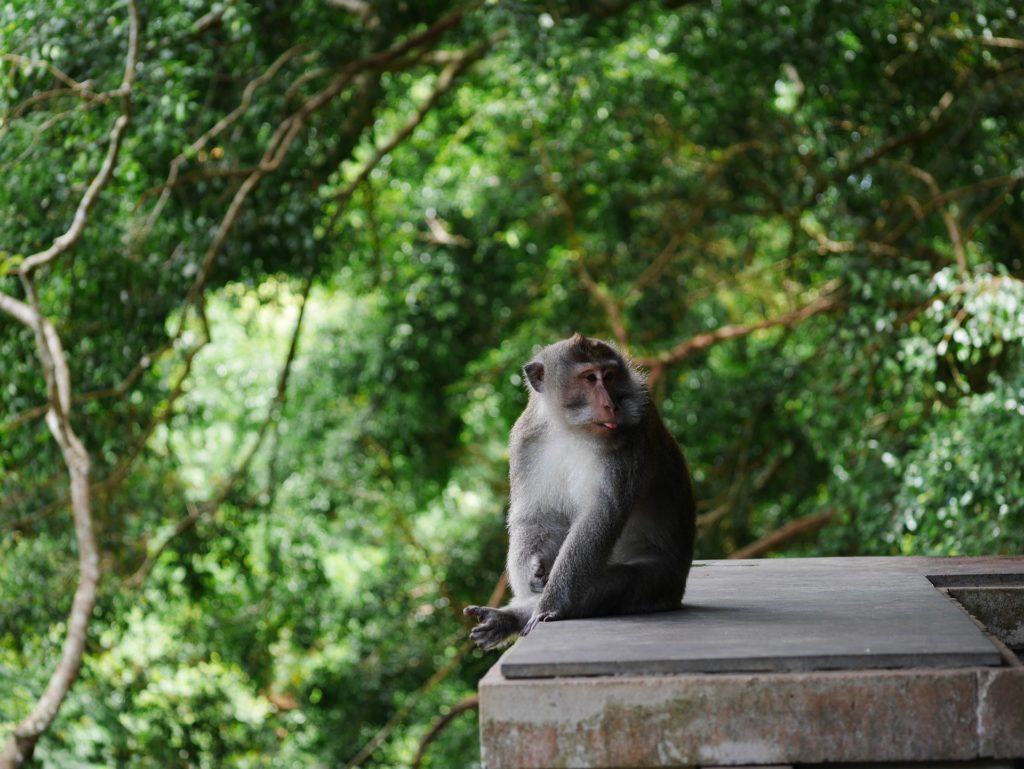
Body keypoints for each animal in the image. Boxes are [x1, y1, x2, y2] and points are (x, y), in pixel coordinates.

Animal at [466, 331, 696, 651]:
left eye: (609, 376)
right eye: (589, 378)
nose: (612, 405)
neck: (571, 431)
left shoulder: (631, 436)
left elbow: (600, 516)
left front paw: (549, 606)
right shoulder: (525, 438)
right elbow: (535, 515)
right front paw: (533, 569)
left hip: (661, 582)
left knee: (616, 583)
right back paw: (507, 618)